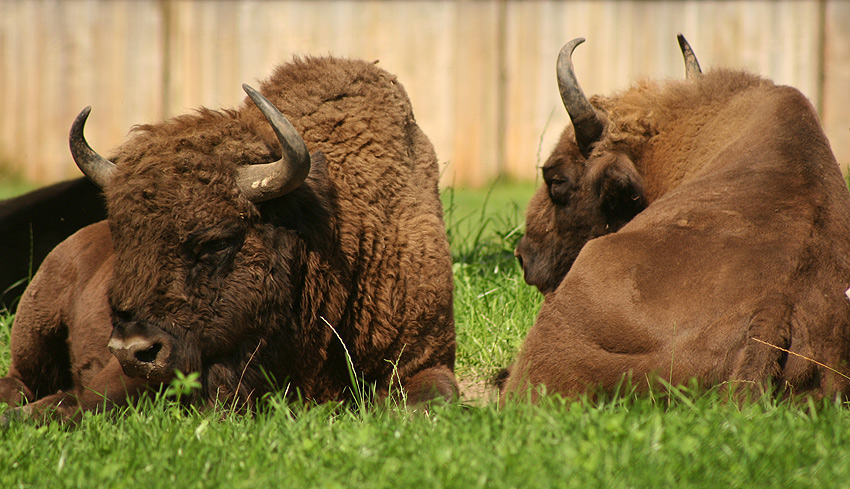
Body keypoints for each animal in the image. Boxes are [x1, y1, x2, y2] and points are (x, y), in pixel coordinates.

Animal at [0, 55, 458, 420]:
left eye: (218, 241)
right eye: (123, 235)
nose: (135, 349)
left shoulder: (424, 358)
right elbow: (90, 402)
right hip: (36, 327)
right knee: (21, 380)